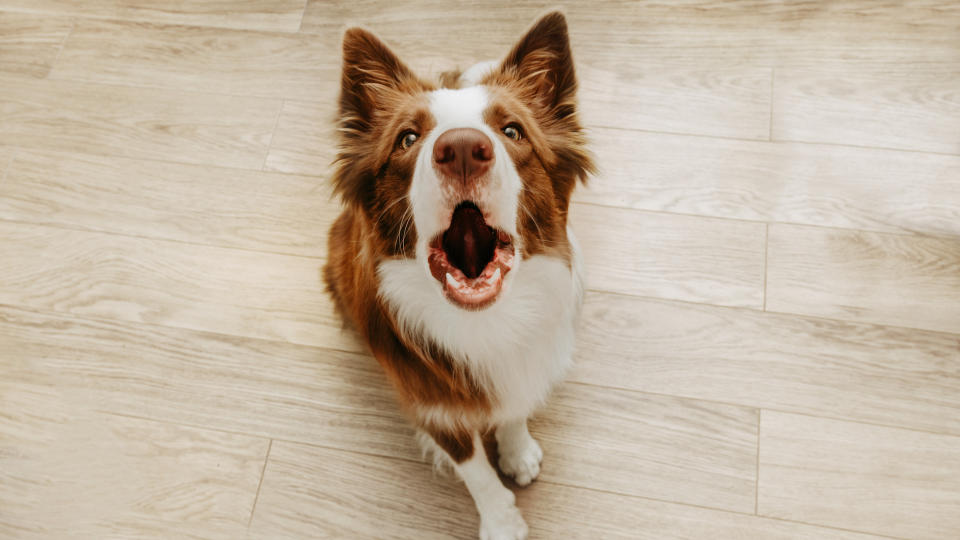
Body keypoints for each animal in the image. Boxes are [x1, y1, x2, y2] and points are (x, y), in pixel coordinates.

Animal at [322, 12, 592, 540]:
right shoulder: (434, 406)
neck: (484, 322)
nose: (463, 147)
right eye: (408, 139)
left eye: (512, 131)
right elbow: (476, 473)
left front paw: (517, 451)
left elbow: (514, 407)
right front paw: (503, 521)